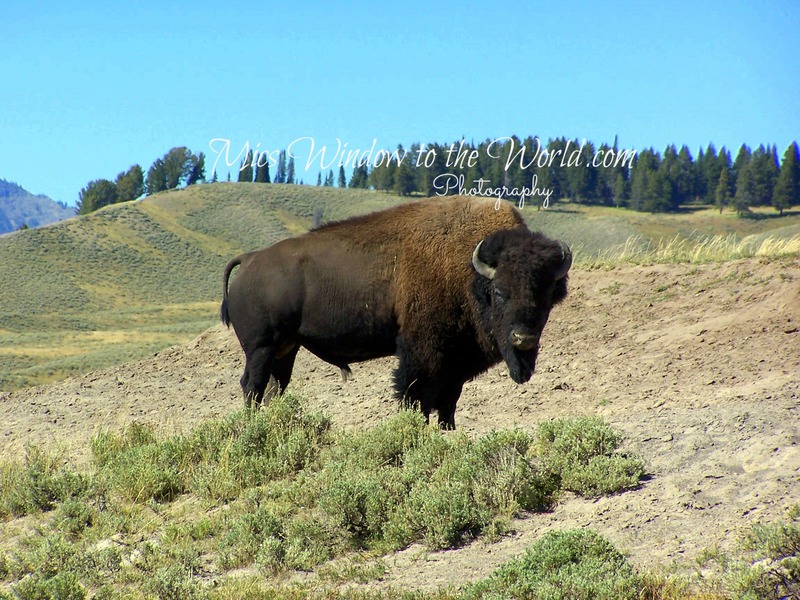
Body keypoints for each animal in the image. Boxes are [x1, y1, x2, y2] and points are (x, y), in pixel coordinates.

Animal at [221, 196, 571, 429]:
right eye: (500, 292)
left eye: (547, 296)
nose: (523, 338)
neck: (469, 270)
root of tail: (250, 259)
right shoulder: (422, 352)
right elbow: (416, 395)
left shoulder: (456, 361)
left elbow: (448, 402)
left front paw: (447, 431)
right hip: (261, 347)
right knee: (252, 385)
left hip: (286, 348)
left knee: (274, 387)